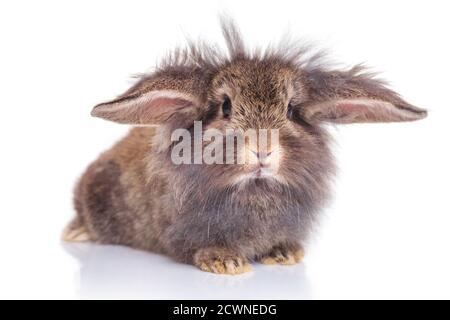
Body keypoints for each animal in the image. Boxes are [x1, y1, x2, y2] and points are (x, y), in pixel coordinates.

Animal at [63, 19, 426, 276]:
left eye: (291, 110)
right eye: (225, 107)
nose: (263, 149)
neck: (255, 189)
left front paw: (284, 254)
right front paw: (226, 263)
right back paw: (75, 232)